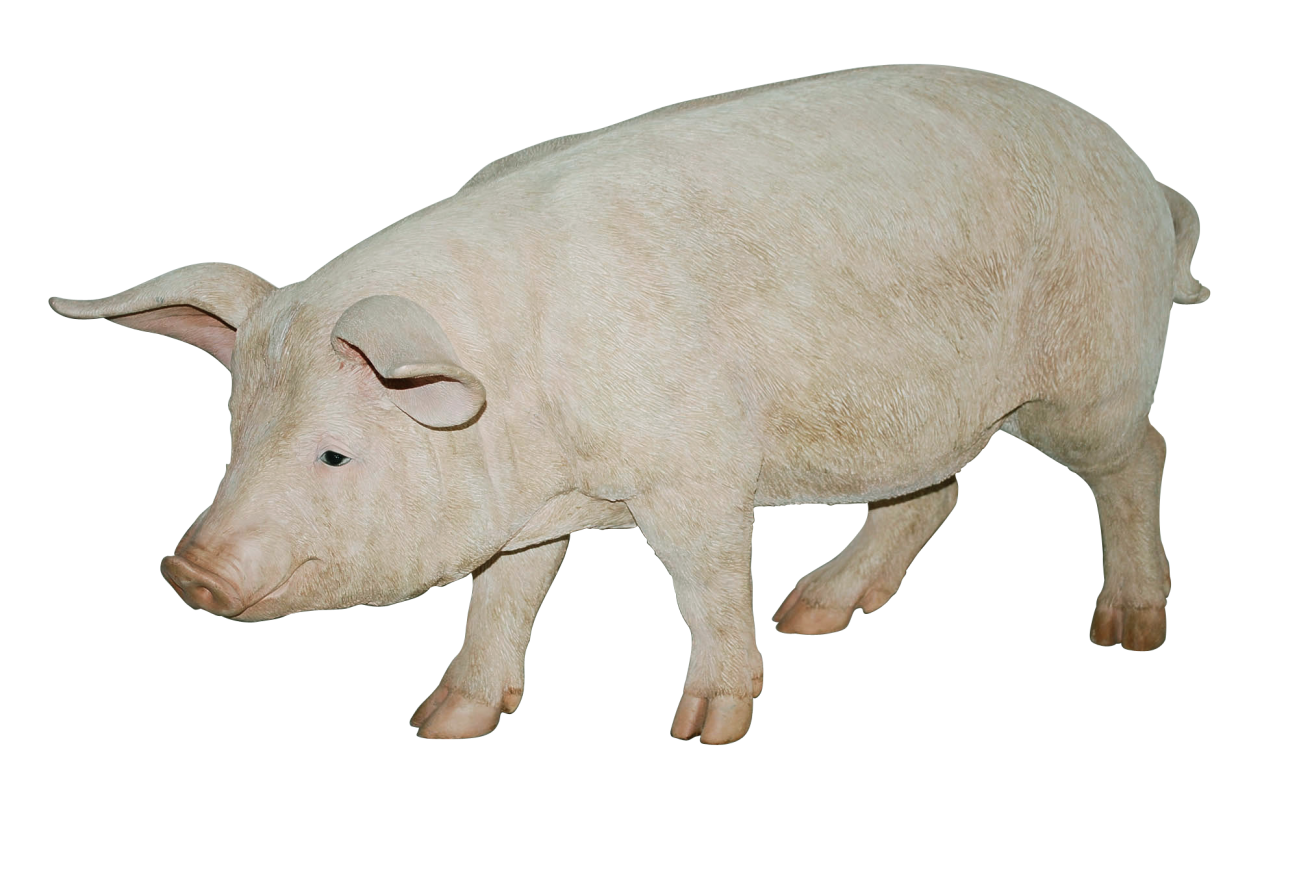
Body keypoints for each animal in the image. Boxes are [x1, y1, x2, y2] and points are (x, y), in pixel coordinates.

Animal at [48, 64, 1209, 744]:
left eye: (334, 454)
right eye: (234, 444)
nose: (188, 569)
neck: (520, 410)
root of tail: (1147, 178)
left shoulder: (696, 466)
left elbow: (702, 583)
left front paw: (705, 727)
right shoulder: (530, 505)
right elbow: (504, 594)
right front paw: (442, 721)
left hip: (1089, 377)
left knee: (1139, 456)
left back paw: (1125, 628)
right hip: (934, 409)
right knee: (935, 491)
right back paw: (819, 612)